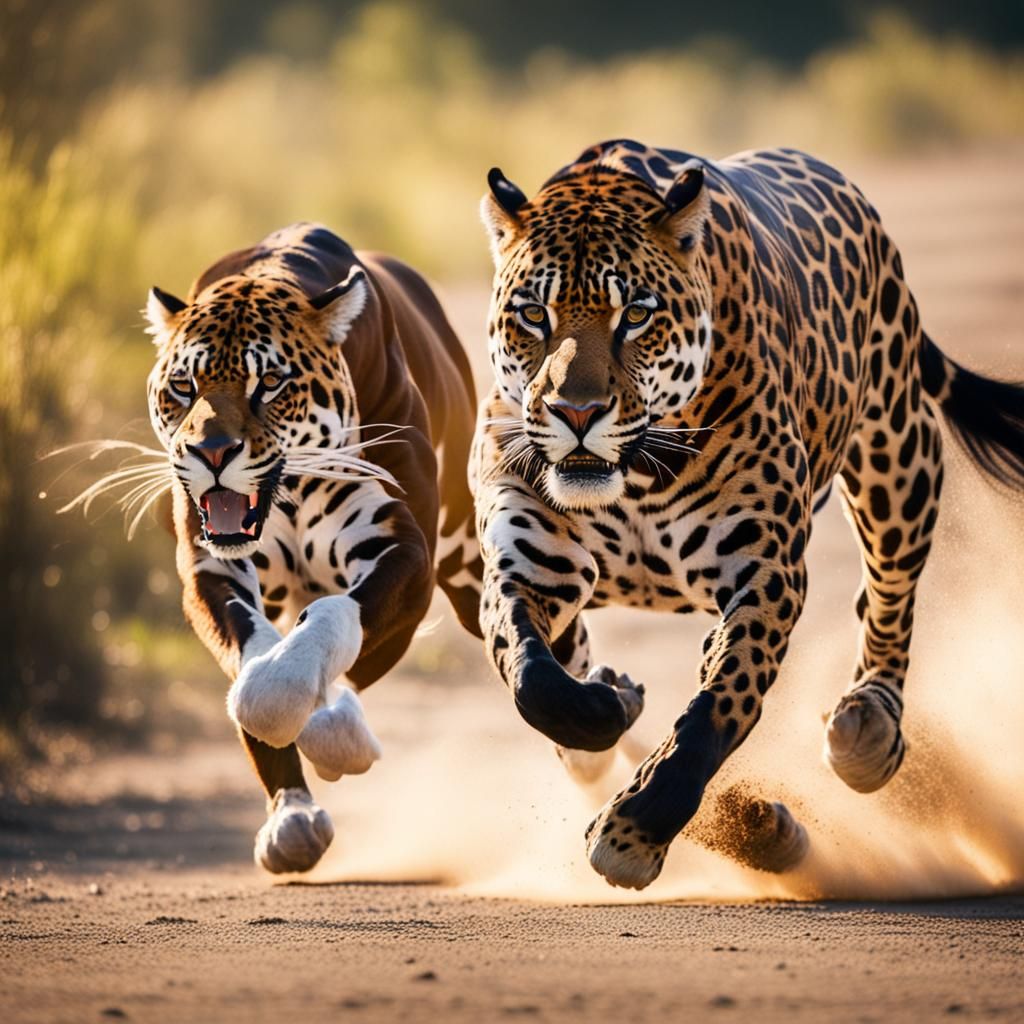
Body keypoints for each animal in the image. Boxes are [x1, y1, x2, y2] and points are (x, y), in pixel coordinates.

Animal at [472, 139, 1024, 890]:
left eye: (635, 315)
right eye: (534, 314)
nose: (576, 413)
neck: (635, 476)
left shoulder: (766, 575)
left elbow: (718, 708)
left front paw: (635, 831)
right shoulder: (530, 558)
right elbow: (529, 672)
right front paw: (603, 704)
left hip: (897, 450)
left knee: (887, 592)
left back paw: (869, 728)